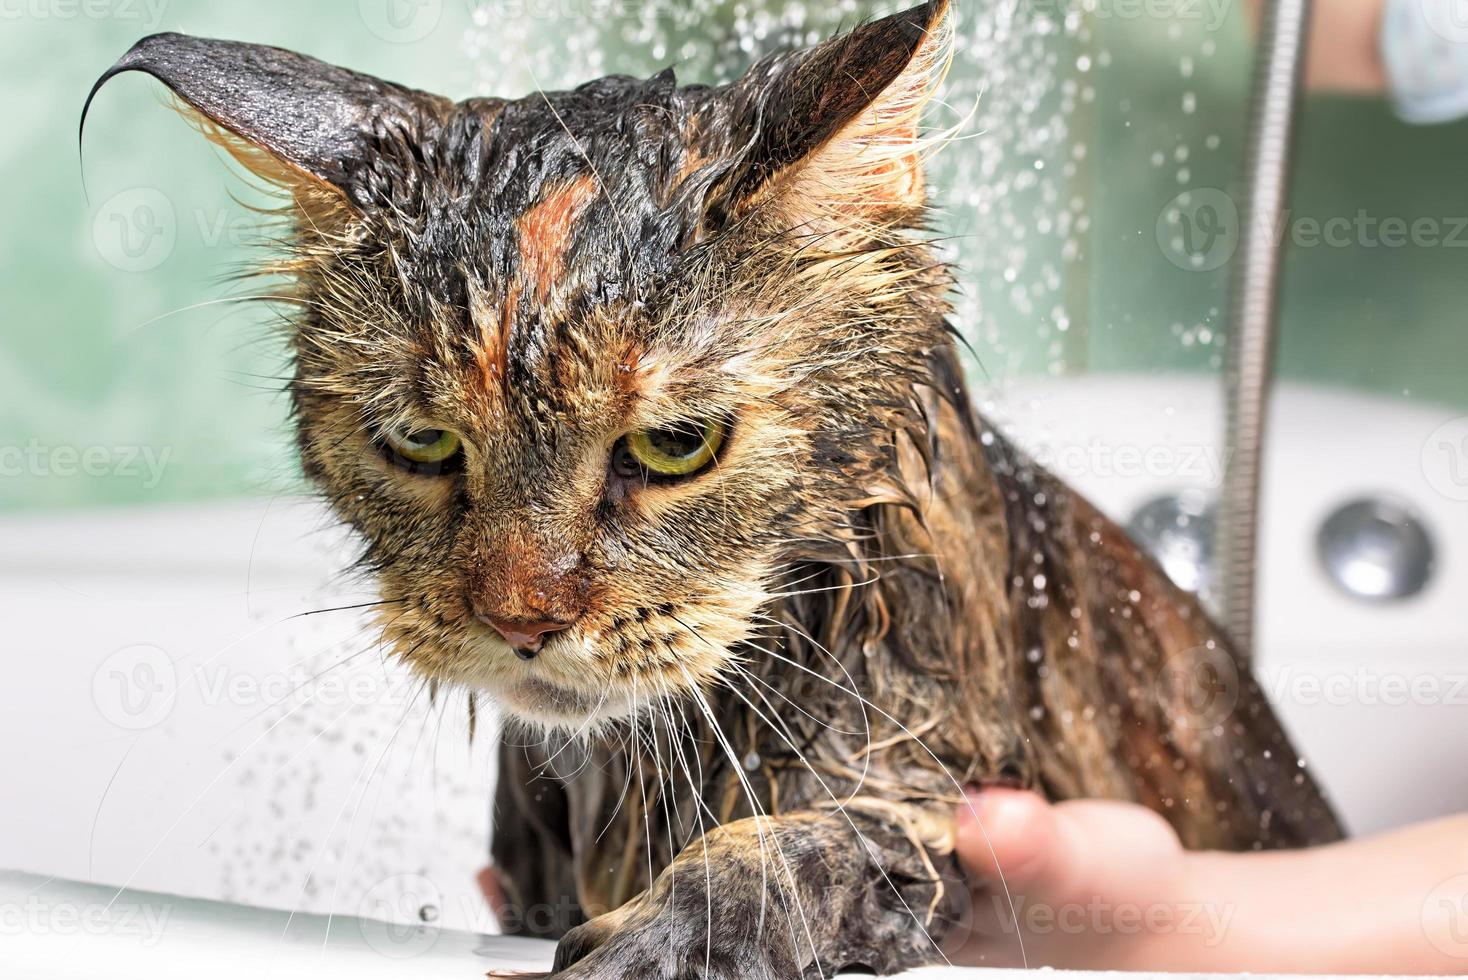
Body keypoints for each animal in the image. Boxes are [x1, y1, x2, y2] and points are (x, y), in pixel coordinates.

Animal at [83, 3, 1344, 974]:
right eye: (423, 442)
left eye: (676, 444)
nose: (522, 618)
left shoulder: (938, 786)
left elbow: (798, 851)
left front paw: (671, 932)